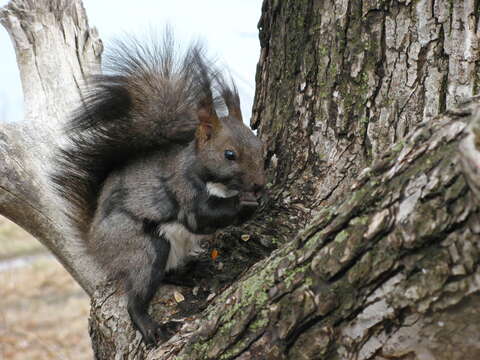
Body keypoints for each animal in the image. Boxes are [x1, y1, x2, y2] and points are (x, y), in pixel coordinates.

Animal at [52, 34, 266, 346]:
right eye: (229, 155)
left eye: (259, 145)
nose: (259, 184)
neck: (217, 183)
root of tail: (94, 245)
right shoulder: (184, 191)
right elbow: (200, 218)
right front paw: (244, 204)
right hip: (142, 249)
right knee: (137, 294)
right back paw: (150, 326)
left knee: (168, 274)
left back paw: (190, 273)